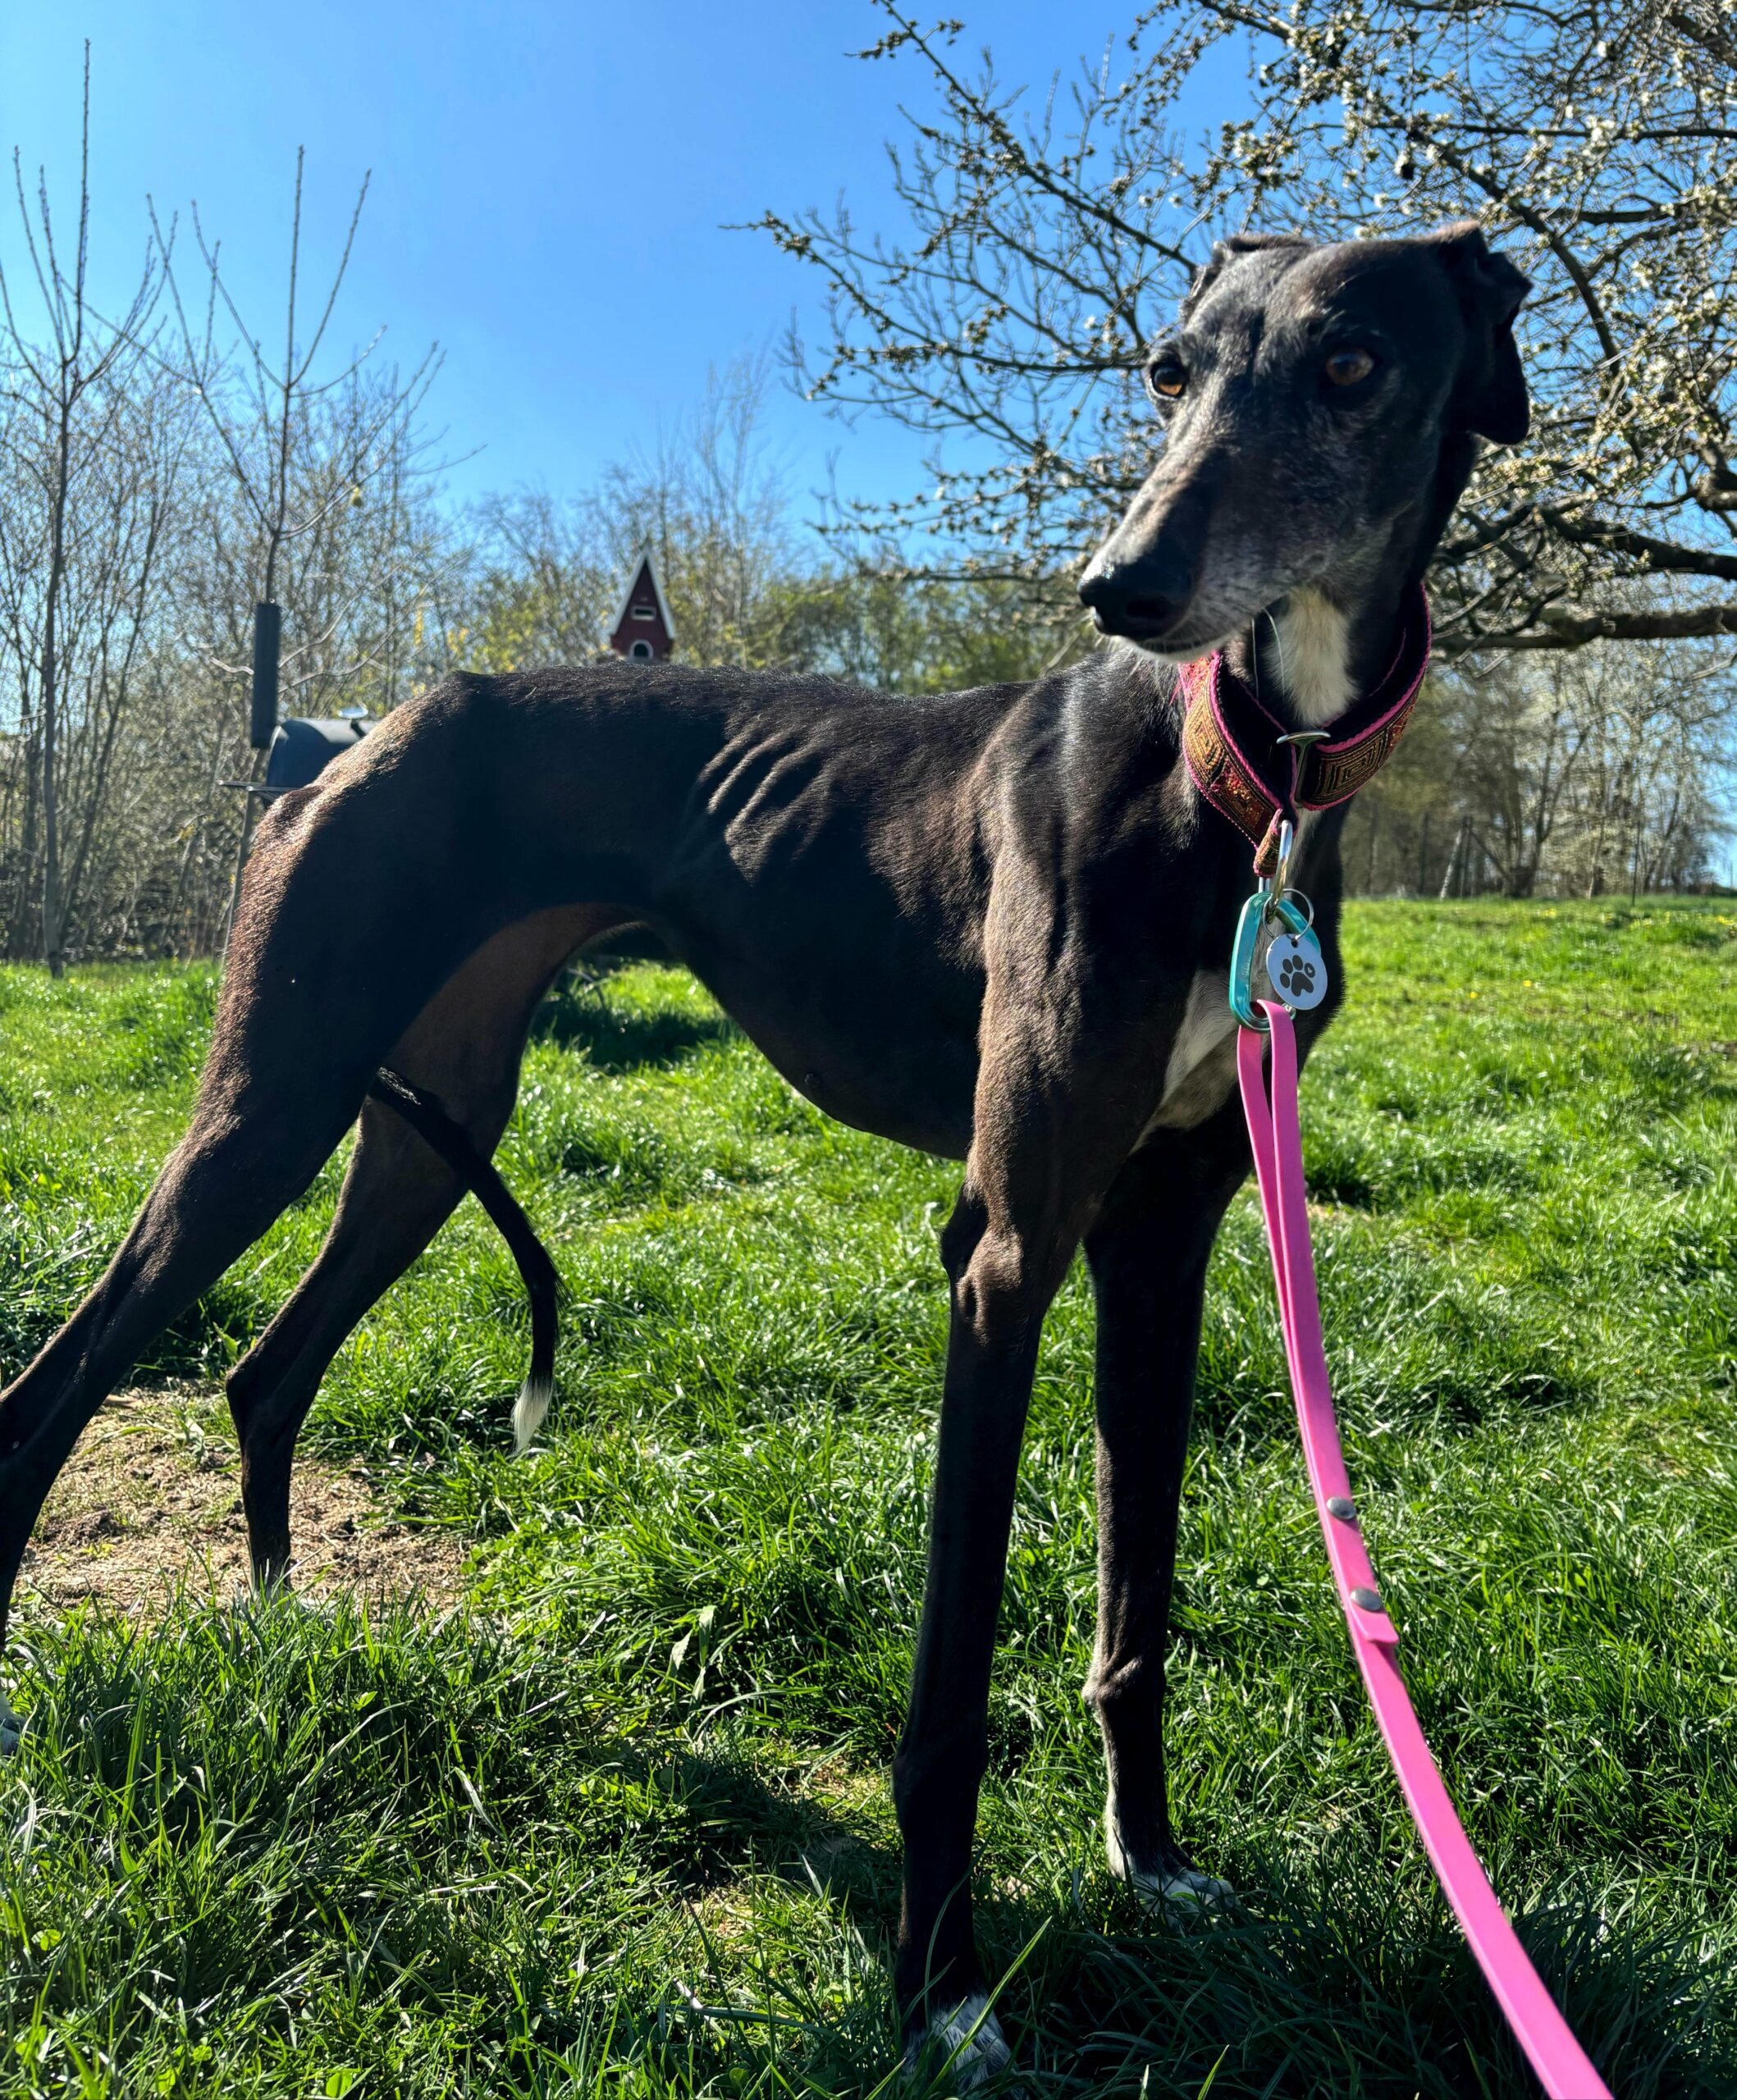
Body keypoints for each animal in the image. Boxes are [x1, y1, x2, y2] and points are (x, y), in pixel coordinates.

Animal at [0, 222, 1528, 2079]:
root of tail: (347, 731)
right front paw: (940, 1986)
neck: (1230, 782)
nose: (1123, 585)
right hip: (269, 1093)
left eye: (1350, 364)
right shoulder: (1003, 1249)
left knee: (263, 1369)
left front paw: (1150, 1860)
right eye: (1169, 369)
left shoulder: (1163, 1238)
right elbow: (949, 1677)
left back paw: (285, 1619)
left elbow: (1136, 1603)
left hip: (424, 1125)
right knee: (52, 1394)